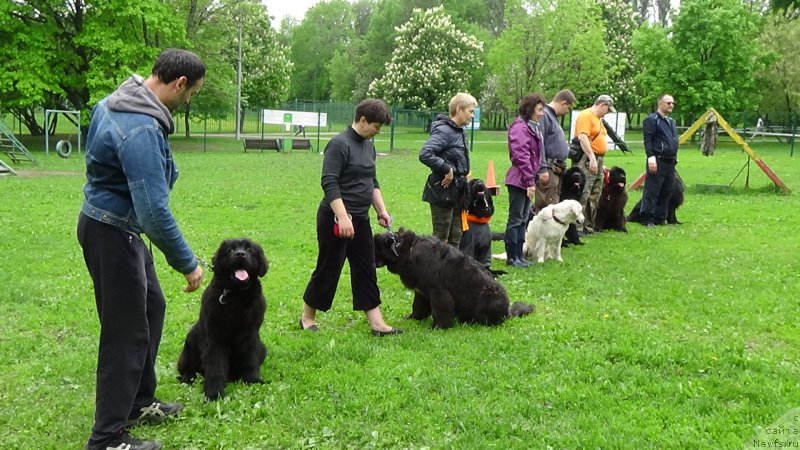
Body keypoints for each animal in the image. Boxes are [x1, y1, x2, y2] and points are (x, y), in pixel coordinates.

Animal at [177, 239, 270, 400]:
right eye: (230, 250)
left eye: (249, 249)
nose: (240, 254)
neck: (237, 297)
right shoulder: (216, 339)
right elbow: (216, 367)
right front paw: (214, 394)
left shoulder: (251, 335)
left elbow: (250, 359)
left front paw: (253, 380)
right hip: (190, 343)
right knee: (187, 369)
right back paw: (188, 377)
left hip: (263, 348)